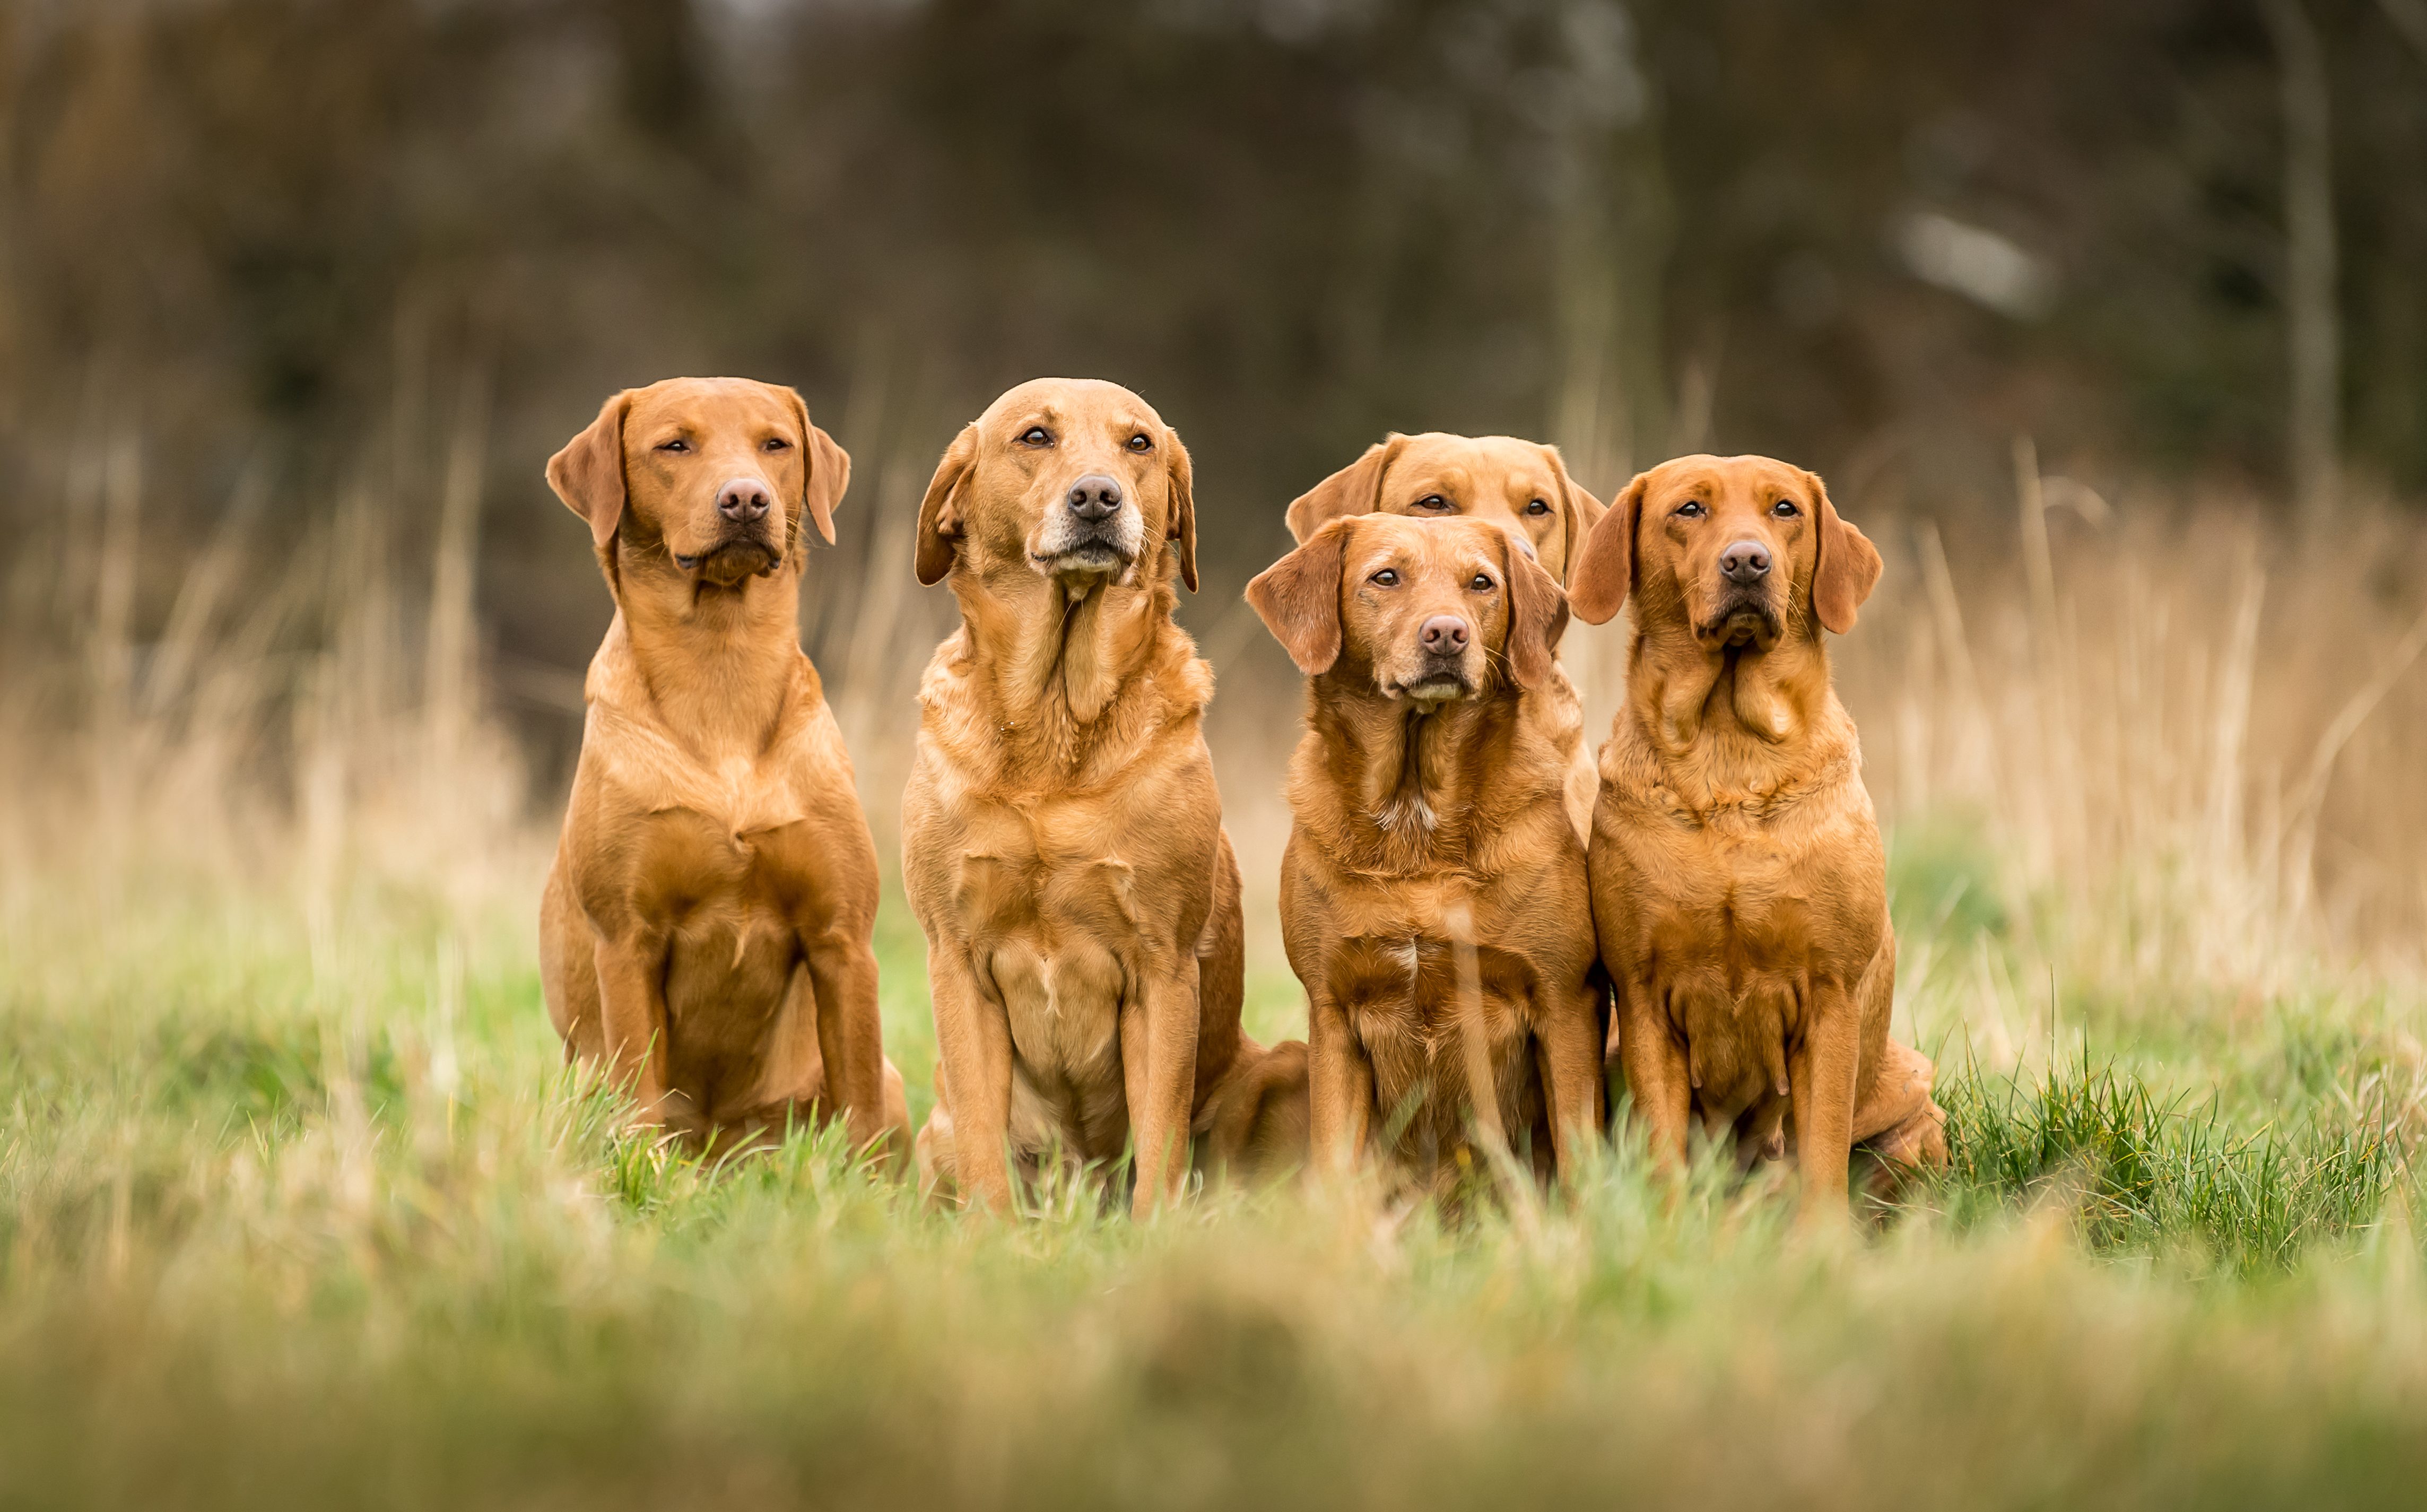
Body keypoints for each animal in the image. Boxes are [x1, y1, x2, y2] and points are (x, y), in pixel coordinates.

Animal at [541, 378, 912, 1160]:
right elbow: (641, 1095)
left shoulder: (842, 939)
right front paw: (646, 1174)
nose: (746, 499)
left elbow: (859, 1104)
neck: (722, 665)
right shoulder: (627, 943)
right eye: (674, 445)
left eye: (776, 444)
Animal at [898, 378, 1310, 1218]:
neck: (1055, 721)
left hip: (1282, 1069)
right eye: (1034, 436)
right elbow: (986, 1142)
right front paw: (988, 1235)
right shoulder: (956, 960)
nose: (1097, 497)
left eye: (1138, 443)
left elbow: (1159, 1138)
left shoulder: (1162, 969)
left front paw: (1153, 1232)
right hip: (937, 1130)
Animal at [1252, 514, 1611, 1198]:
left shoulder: (1564, 1001)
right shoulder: (1332, 1013)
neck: (1414, 822)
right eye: (1386, 577)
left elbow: (1581, 1159)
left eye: (1482, 583)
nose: (1447, 633)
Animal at [1563, 449, 1941, 1218]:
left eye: (1784, 509)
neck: (1726, 749)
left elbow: (1822, 1151)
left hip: (1915, 1093)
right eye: (1689, 509)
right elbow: (1663, 1149)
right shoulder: (1642, 1000)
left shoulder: (1829, 997)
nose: (1747, 561)